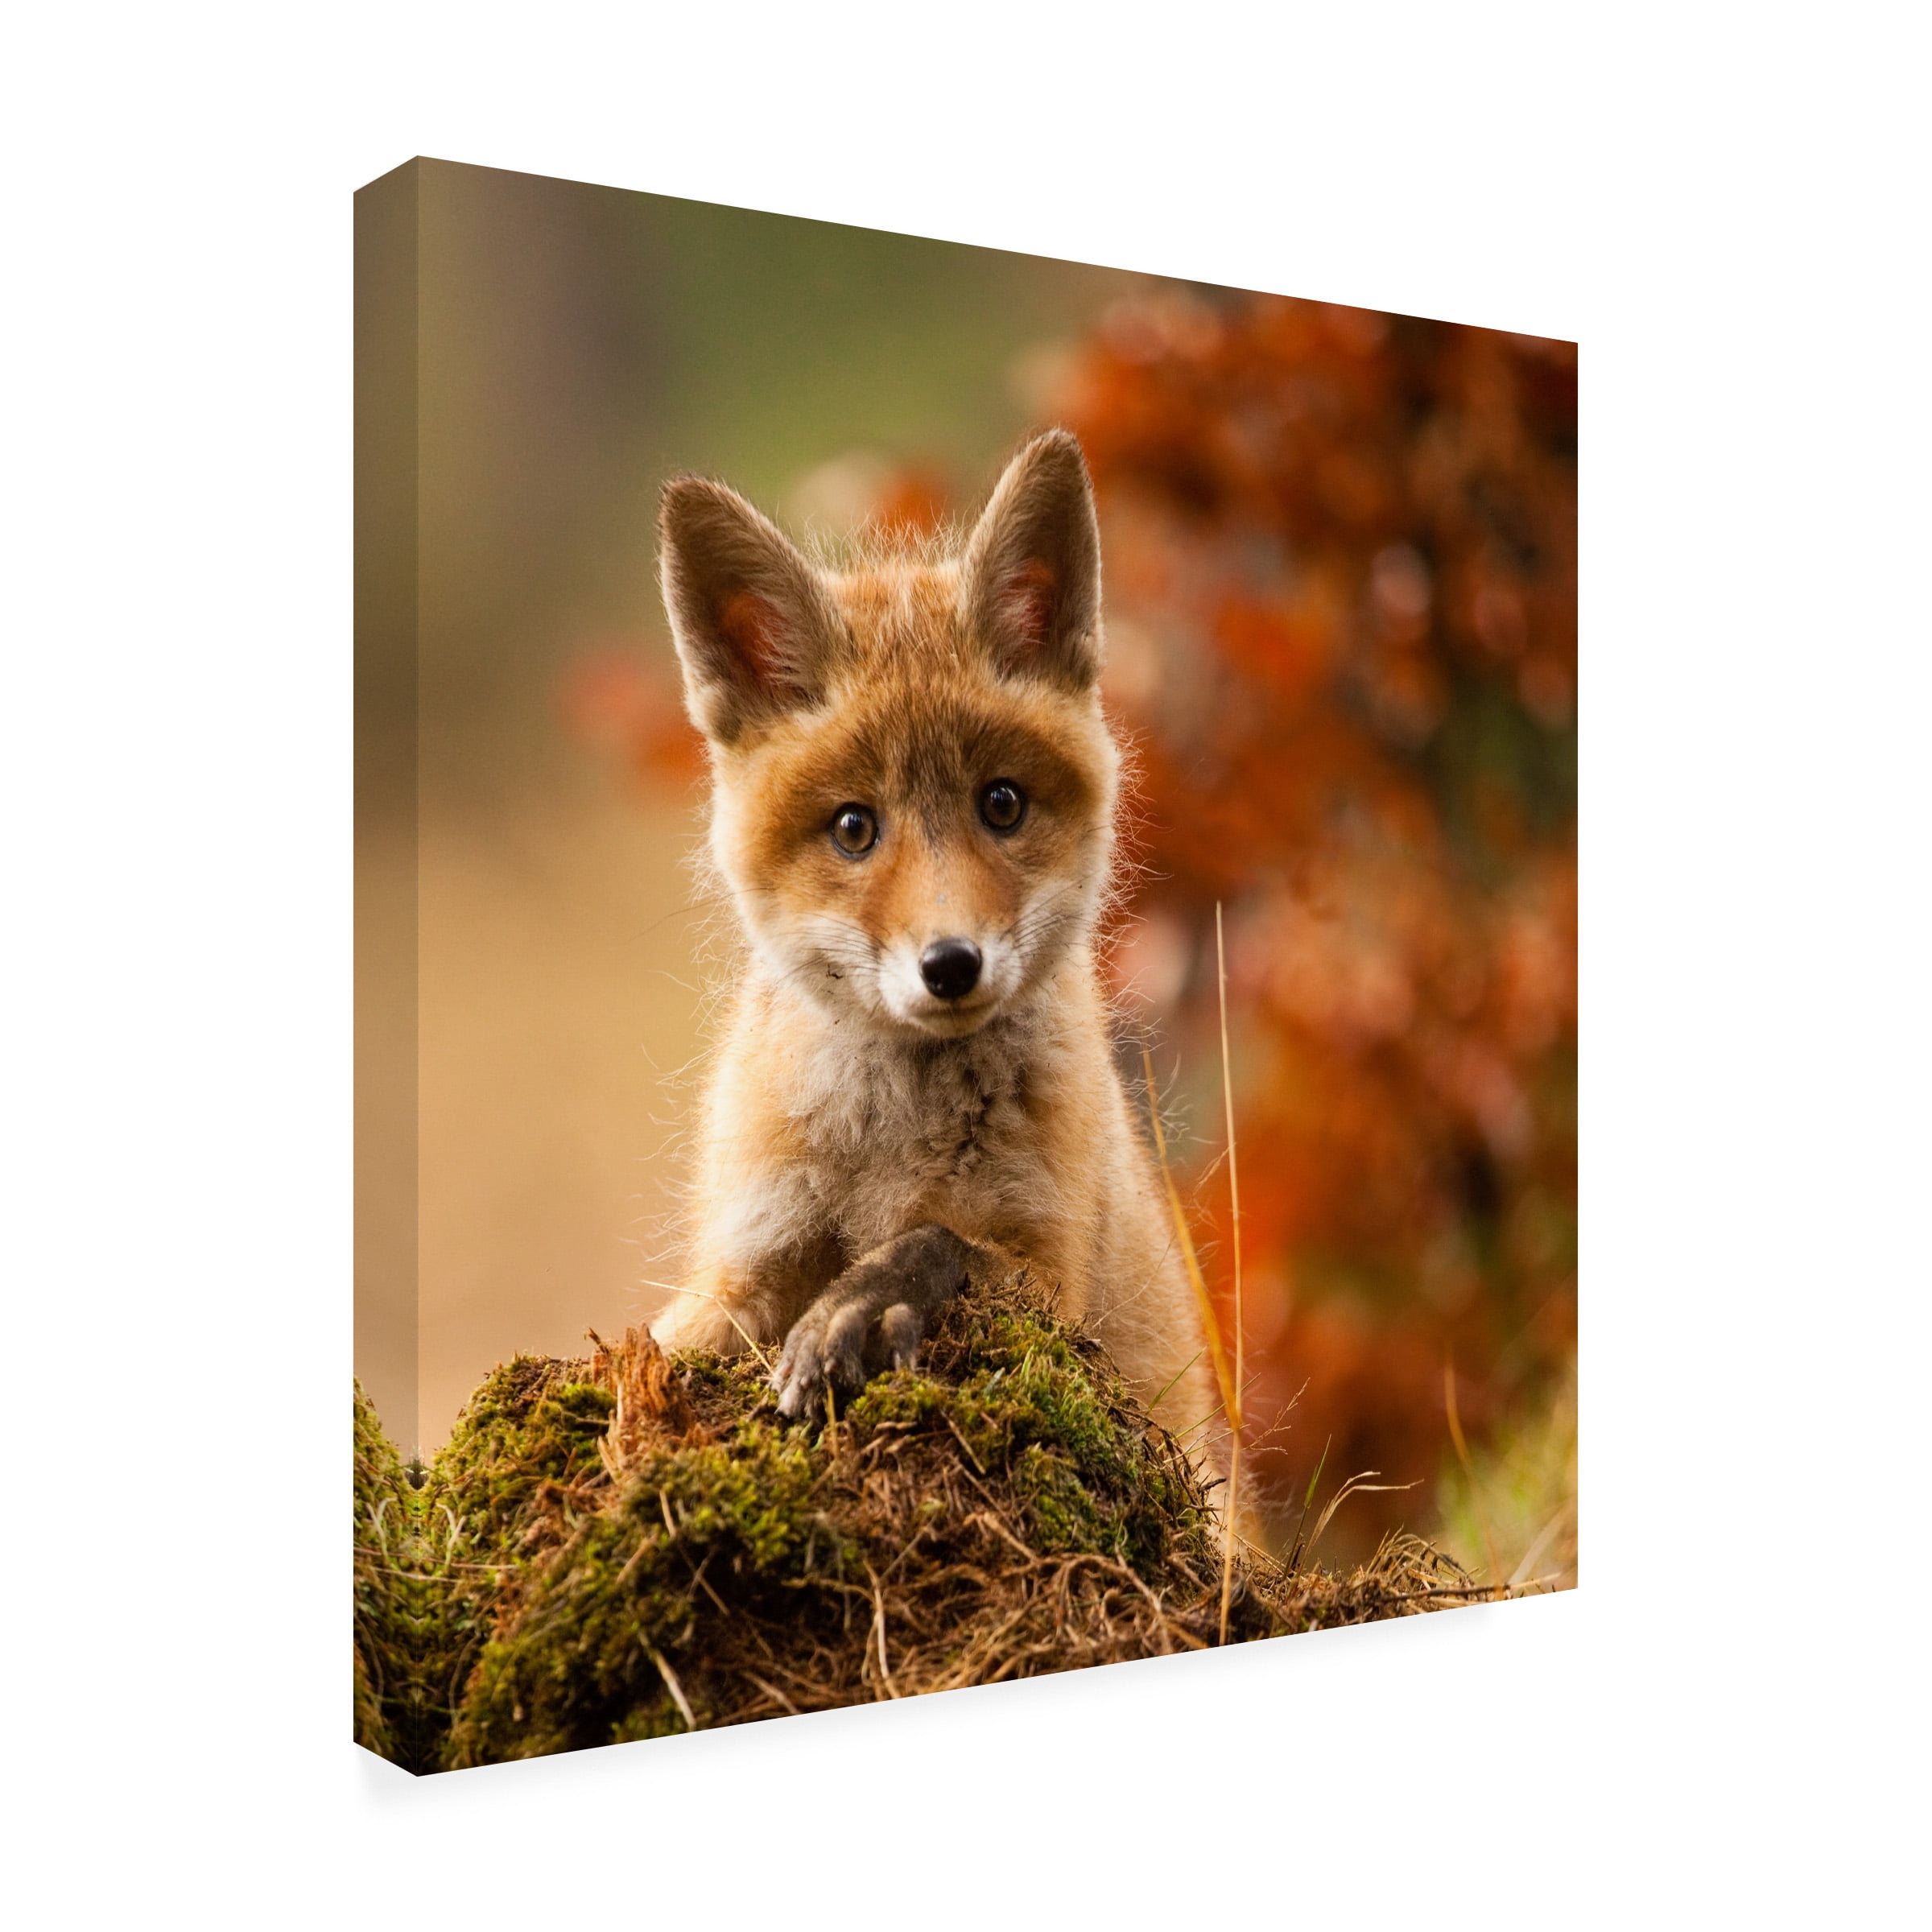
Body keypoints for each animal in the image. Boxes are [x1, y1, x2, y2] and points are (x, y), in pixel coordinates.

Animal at [648, 428, 1221, 1470]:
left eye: (1002, 803)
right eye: (853, 828)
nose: (952, 966)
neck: (891, 1144)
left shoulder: (1052, 1277)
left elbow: (936, 1245)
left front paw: (857, 1310)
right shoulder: (744, 1257)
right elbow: (656, 1343)